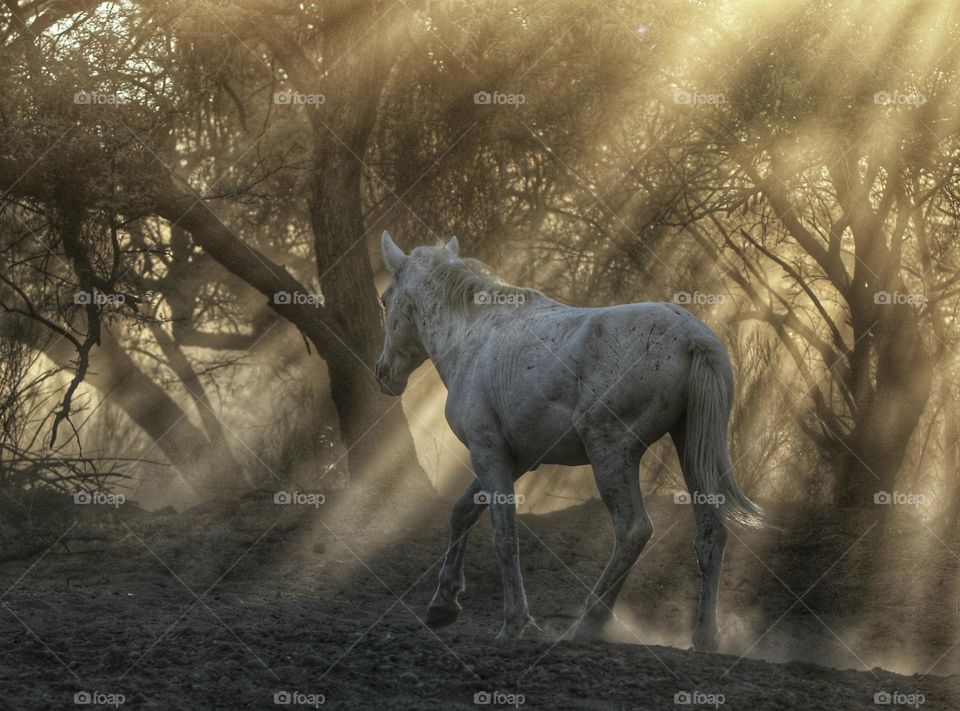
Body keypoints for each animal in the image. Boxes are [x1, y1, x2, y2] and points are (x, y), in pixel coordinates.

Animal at [374, 231, 762, 650]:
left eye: (385, 300)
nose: (383, 375)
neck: (475, 338)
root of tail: (692, 337)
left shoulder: (488, 452)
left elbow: (503, 535)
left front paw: (514, 622)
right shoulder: (516, 459)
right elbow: (462, 511)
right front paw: (443, 603)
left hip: (611, 453)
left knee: (633, 530)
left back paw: (589, 622)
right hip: (689, 447)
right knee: (710, 533)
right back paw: (705, 636)